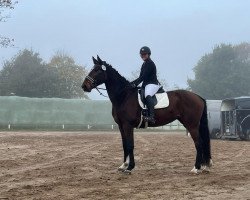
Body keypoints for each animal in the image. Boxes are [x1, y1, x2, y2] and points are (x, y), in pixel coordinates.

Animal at [82, 55, 213, 174]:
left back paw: (196, 168)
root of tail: (198, 97)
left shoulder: (128, 125)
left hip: (191, 125)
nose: (84, 86)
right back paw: (203, 166)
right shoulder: (121, 126)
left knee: (199, 143)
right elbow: (124, 145)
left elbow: (130, 145)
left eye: (97, 70)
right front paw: (123, 165)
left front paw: (130, 167)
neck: (123, 96)